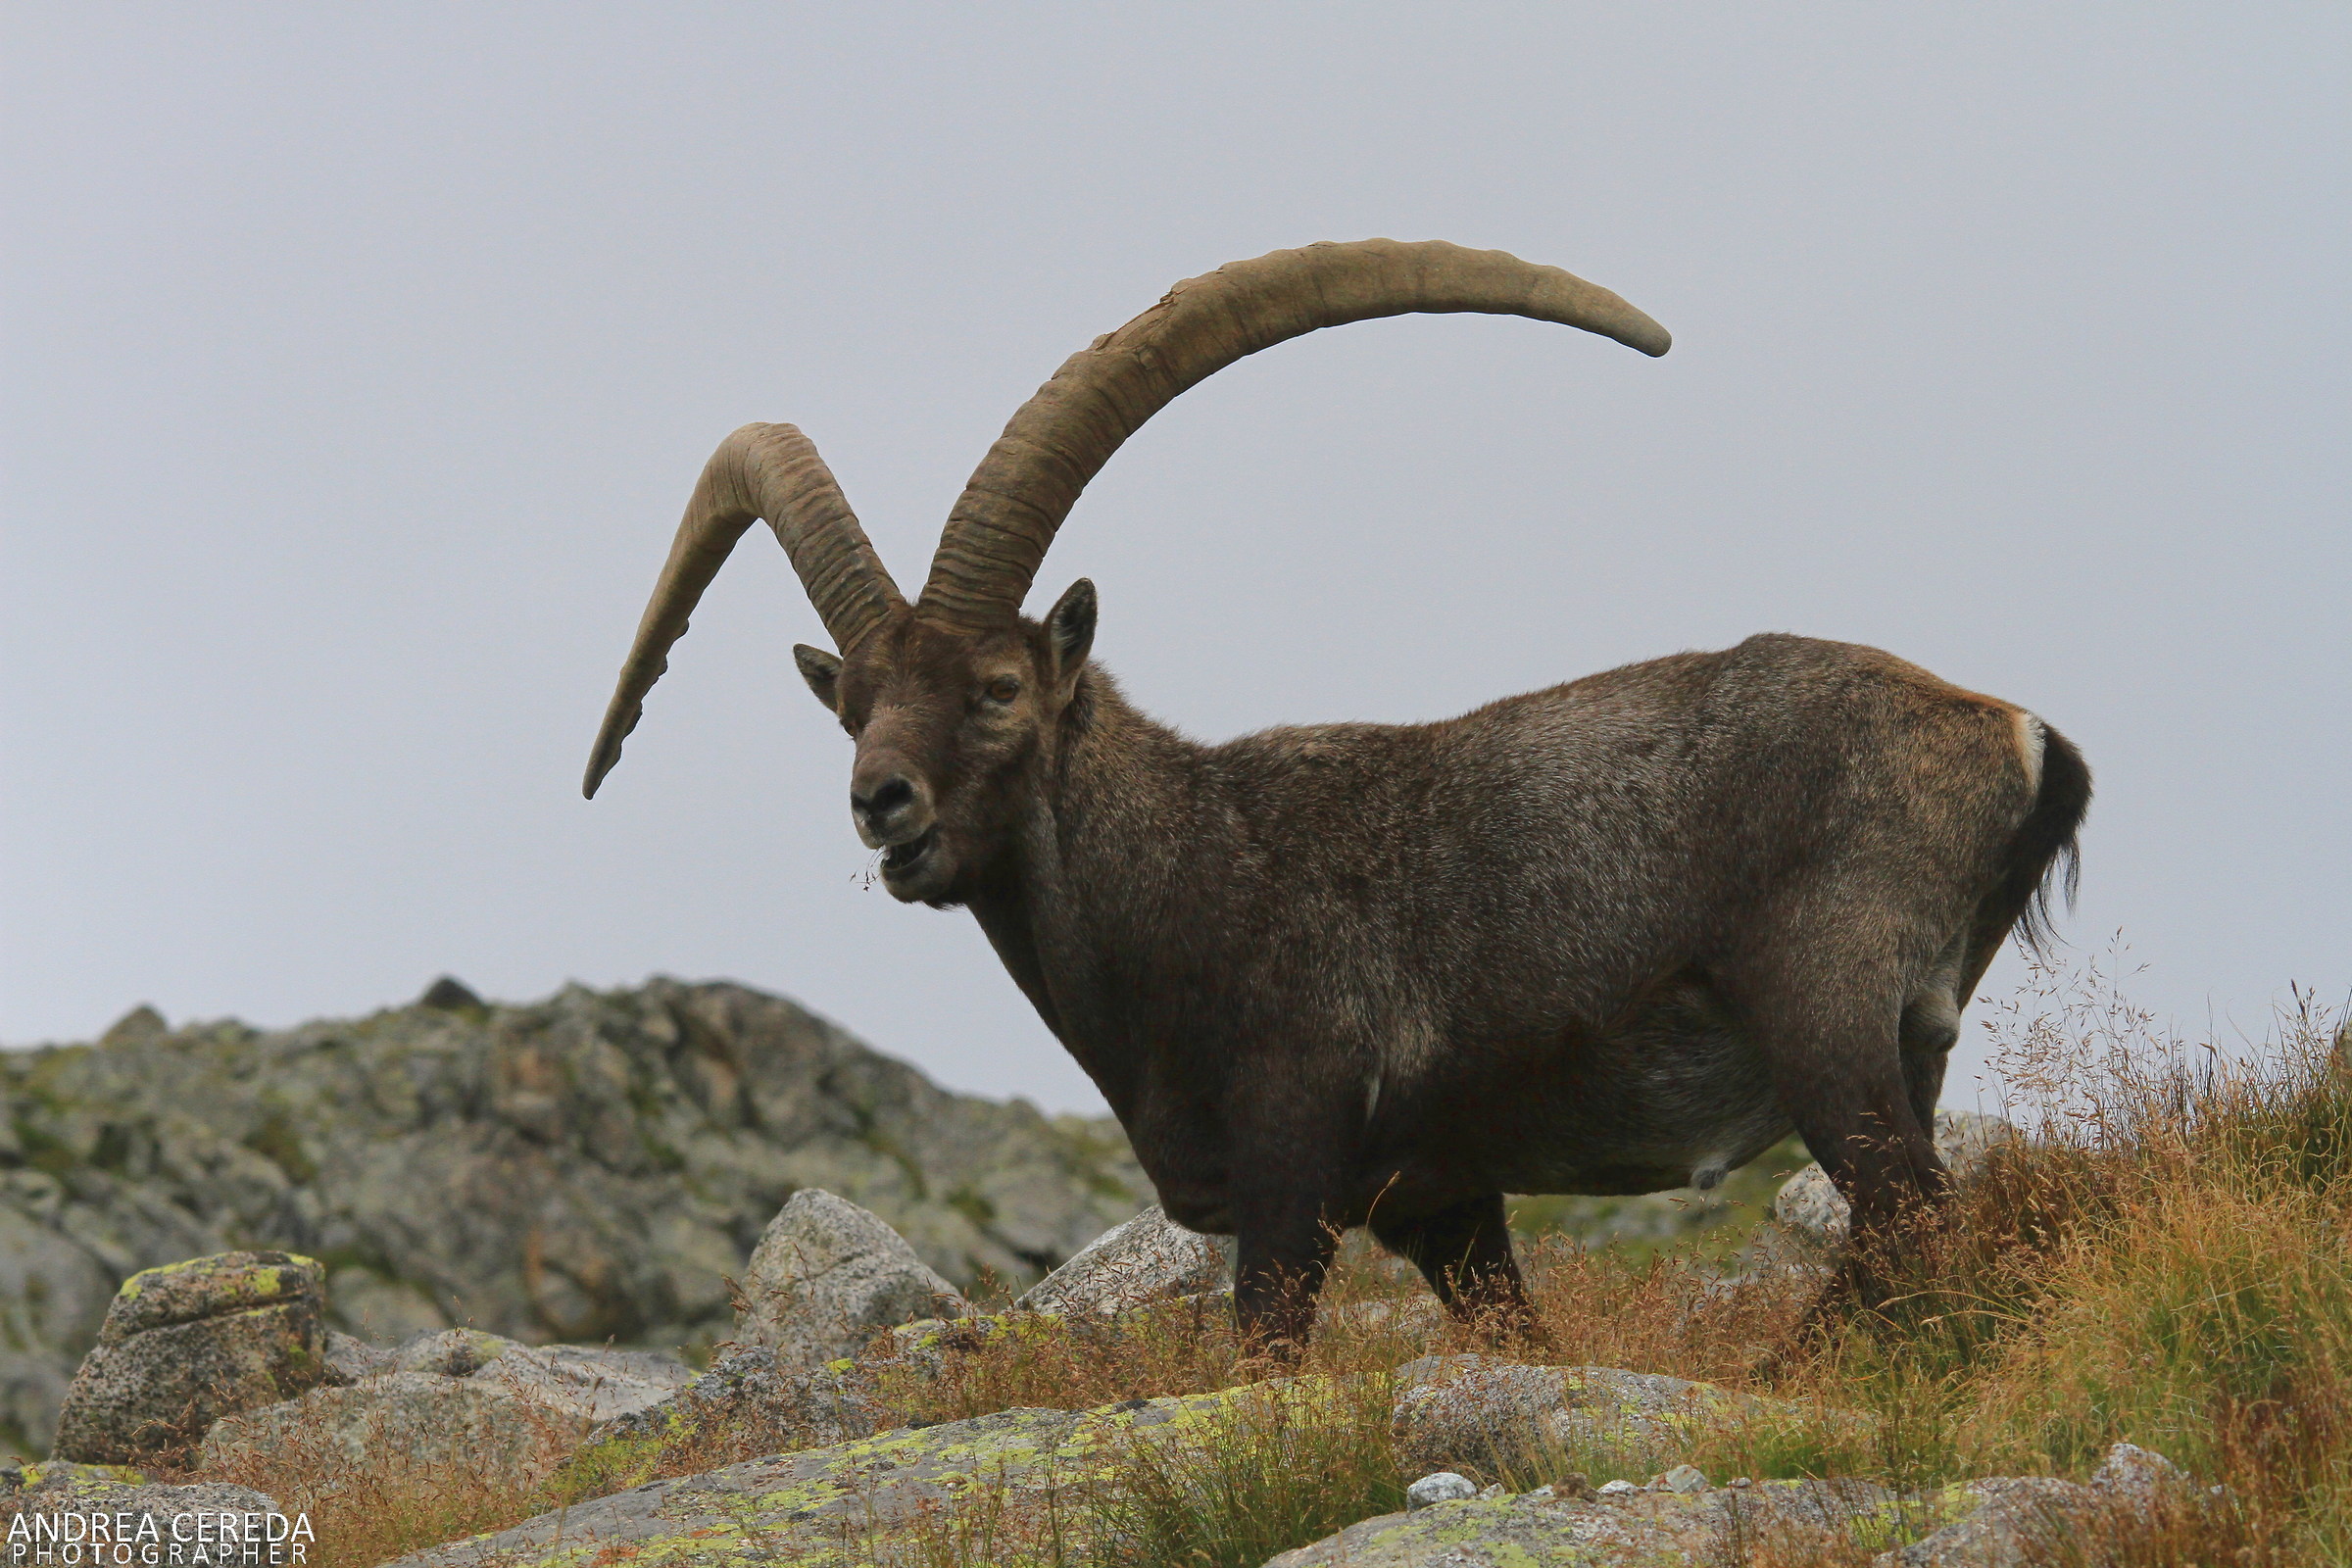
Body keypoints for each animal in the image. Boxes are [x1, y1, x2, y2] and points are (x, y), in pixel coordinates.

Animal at [585, 240, 2090, 1347]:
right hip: (1908, 1040)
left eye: (1000, 687)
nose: (882, 804)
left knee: (1915, 1220)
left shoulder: (1292, 1164)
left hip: (1825, 1017)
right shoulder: (1442, 1201)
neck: (1187, 870)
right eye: (849, 703)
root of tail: (2012, 734)